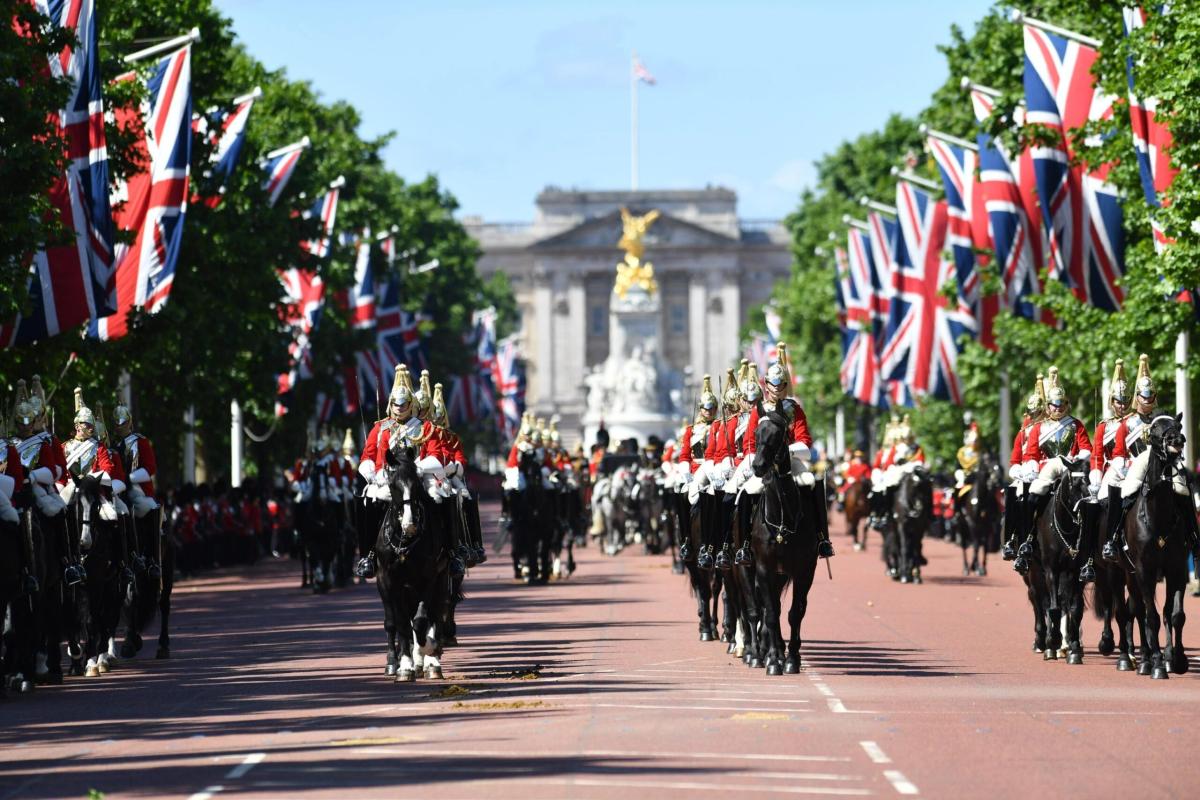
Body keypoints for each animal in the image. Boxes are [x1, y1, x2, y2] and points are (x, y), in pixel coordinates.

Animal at [748, 407, 816, 676]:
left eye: (779, 434)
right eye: (756, 433)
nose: (758, 466)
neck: (781, 517)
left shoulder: (804, 570)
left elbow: (795, 612)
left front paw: (792, 659)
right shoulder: (764, 569)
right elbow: (770, 613)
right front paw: (775, 659)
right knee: (761, 609)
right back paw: (758, 653)